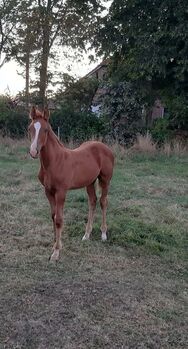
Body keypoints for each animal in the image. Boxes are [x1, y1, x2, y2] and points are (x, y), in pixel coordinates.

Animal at [27, 106, 114, 260]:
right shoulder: (48, 191)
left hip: (105, 179)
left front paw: (56, 252)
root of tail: (105, 147)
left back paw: (103, 234)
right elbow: (53, 216)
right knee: (92, 201)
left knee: (103, 202)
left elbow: (59, 219)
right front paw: (54, 245)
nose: (33, 151)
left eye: (46, 130)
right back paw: (86, 234)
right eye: (30, 128)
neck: (54, 162)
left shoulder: (61, 192)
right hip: (90, 182)